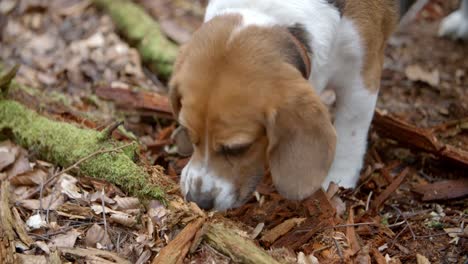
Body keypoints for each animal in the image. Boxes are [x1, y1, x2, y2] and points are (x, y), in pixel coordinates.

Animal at [170, 0, 396, 210]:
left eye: (239, 148)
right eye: (188, 133)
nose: (198, 201)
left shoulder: (362, 80)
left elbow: (351, 135)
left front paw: (339, 181)